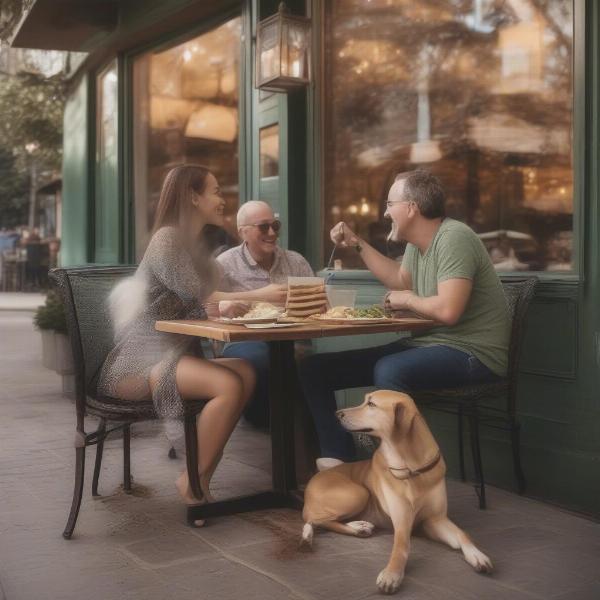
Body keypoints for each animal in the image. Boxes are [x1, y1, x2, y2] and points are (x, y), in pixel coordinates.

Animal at [300, 390, 492, 596]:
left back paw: (359, 526)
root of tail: (311, 483)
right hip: (359, 493)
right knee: (313, 520)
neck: (412, 466)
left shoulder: (434, 520)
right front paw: (391, 575)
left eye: (371, 404)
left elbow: (463, 534)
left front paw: (477, 555)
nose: (337, 414)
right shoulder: (402, 520)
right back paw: (330, 531)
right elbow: (401, 545)